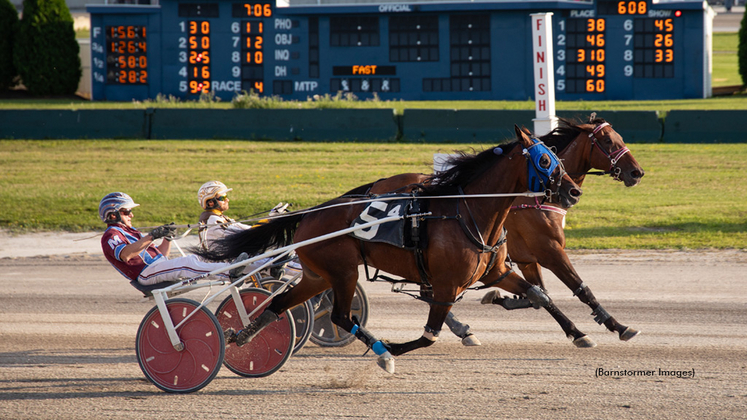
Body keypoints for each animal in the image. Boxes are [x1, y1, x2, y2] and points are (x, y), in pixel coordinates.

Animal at [199, 126, 584, 372]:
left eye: (556, 157)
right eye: (545, 161)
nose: (573, 191)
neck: (469, 211)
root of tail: (310, 214)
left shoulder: (497, 272)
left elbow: (540, 295)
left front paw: (580, 334)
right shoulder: (447, 285)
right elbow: (429, 335)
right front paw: (395, 347)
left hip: (317, 275)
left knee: (280, 304)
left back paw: (243, 334)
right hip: (343, 271)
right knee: (340, 316)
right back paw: (383, 352)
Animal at [366, 115, 644, 348]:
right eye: (608, 141)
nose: (637, 172)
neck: (535, 199)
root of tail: (377, 185)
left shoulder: (527, 259)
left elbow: (539, 293)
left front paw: (502, 297)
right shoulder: (550, 251)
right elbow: (581, 289)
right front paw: (618, 326)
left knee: (430, 291)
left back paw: (462, 329)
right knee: (431, 292)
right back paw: (462, 329)